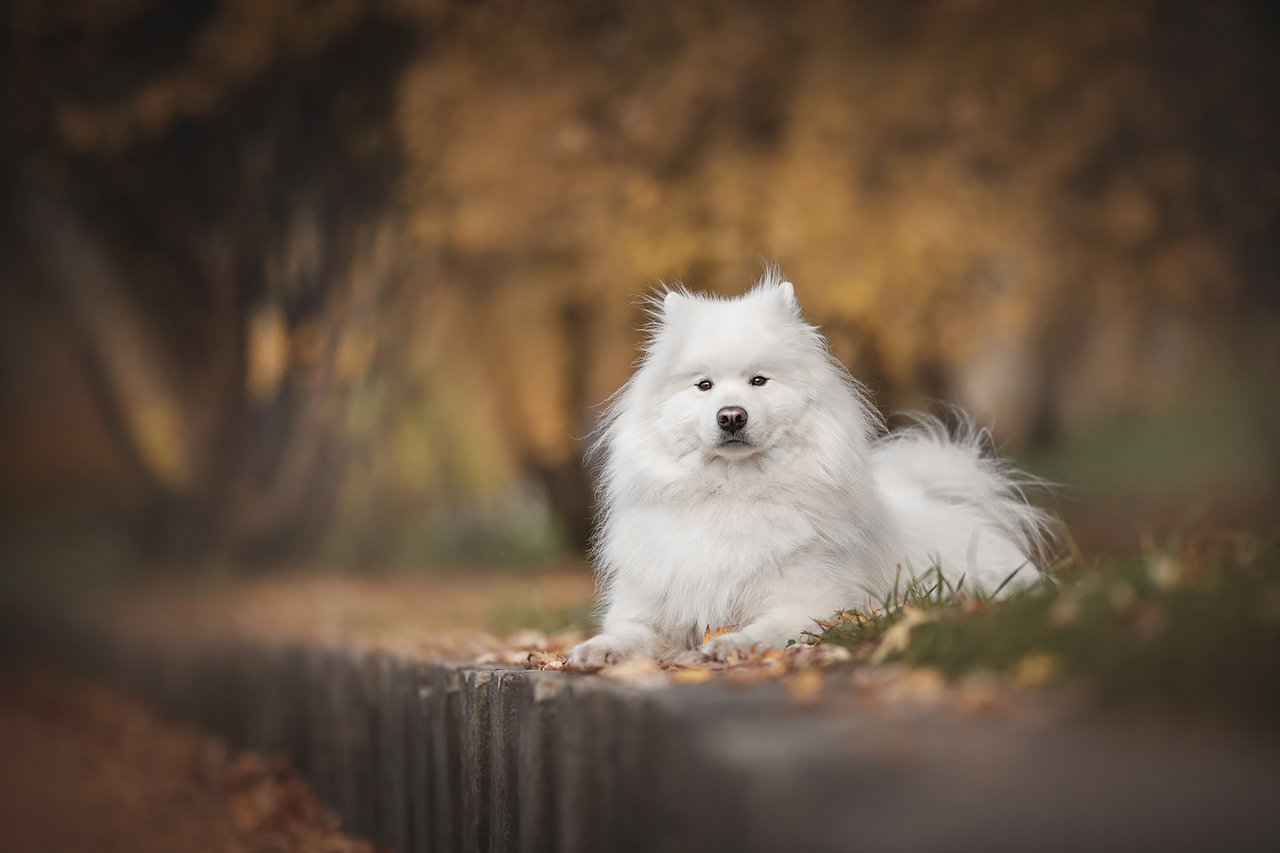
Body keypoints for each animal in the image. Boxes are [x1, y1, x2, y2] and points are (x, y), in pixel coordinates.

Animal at [565, 268, 1044, 666]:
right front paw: (593, 650)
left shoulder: (812, 603)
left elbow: (765, 629)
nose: (731, 415)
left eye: (759, 381)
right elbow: (626, 633)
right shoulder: (650, 608)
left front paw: (731, 644)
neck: (732, 495)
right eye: (704, 385)